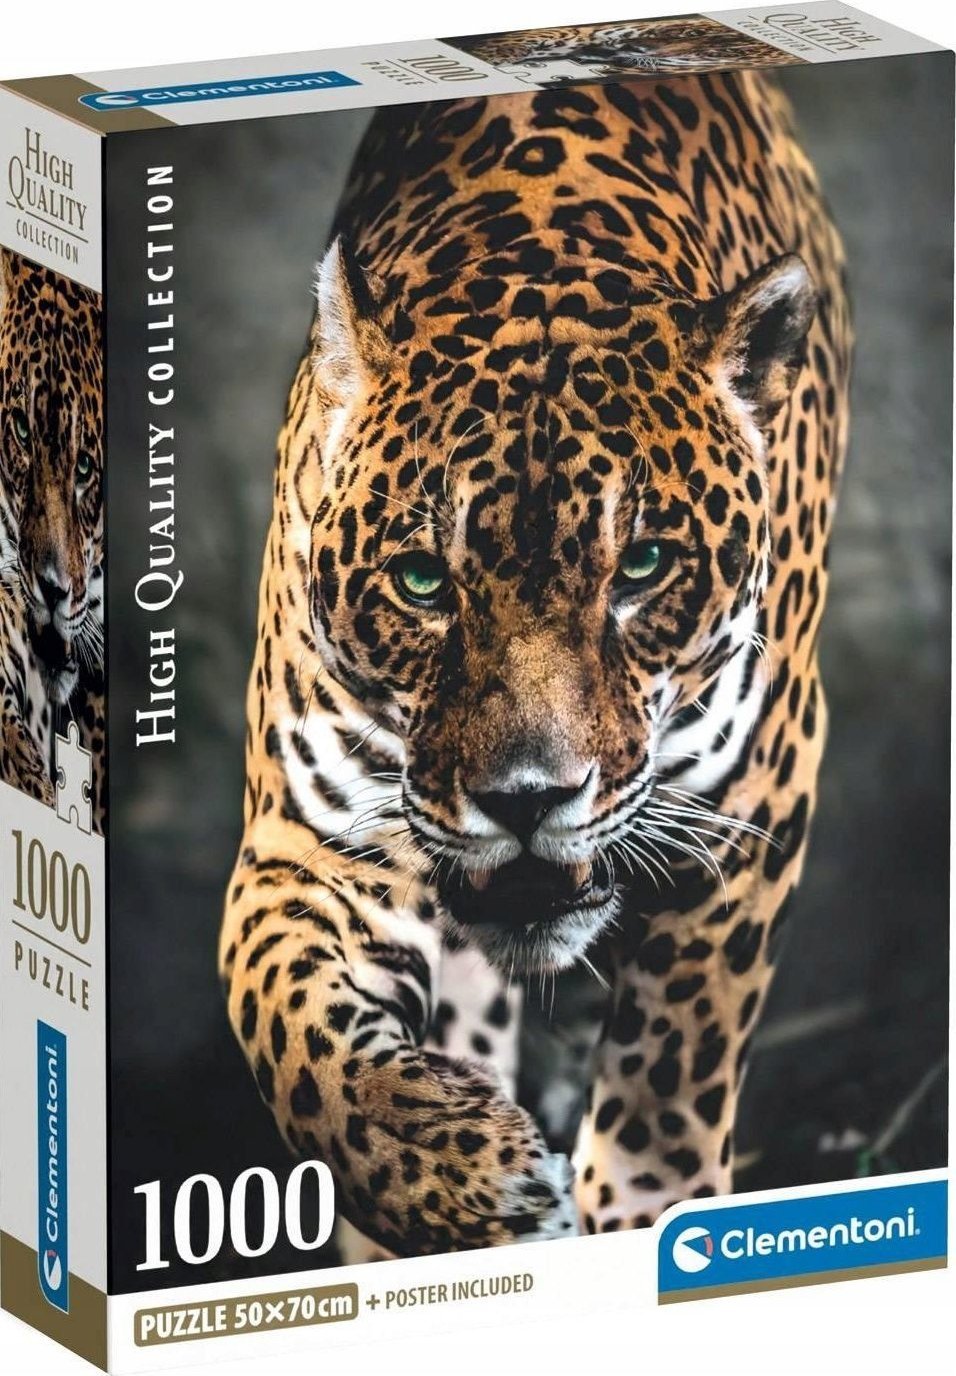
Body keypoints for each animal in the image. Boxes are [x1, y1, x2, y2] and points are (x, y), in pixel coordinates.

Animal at [220, 72, 851, 1254]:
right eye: (423, 581)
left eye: (642, 565)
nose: (525, 800)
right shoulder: (310, 845)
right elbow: (296, 1036)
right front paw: (464, 1177)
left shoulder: (747, 809)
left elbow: (671, 1072)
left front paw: (646, 1209)